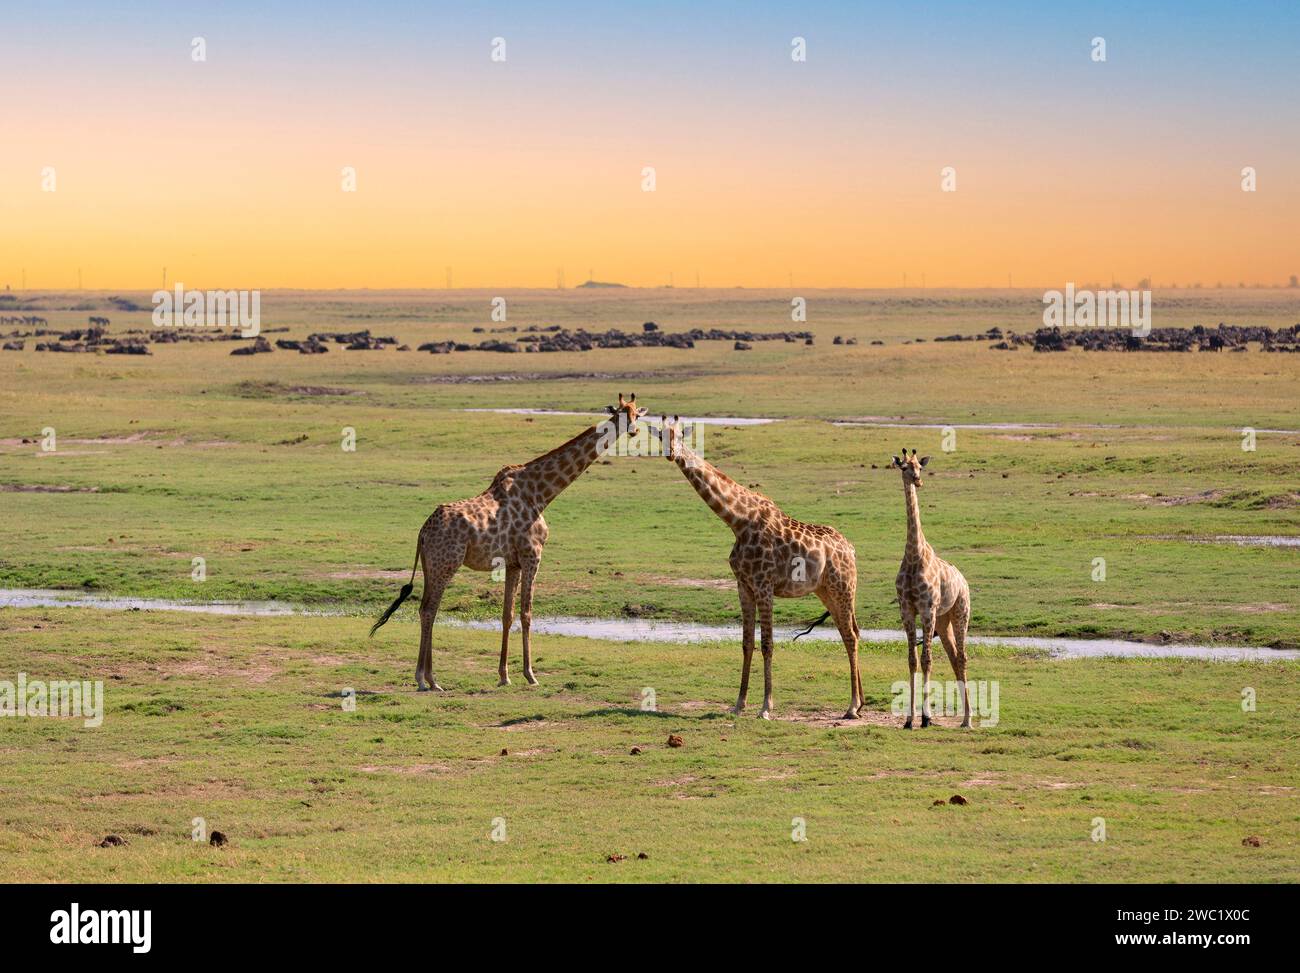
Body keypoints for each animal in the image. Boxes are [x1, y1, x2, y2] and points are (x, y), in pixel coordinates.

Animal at [369, 390, 647, 686]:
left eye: (636, 413)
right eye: (620, 413)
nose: (633, 429)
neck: (541, 494)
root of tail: (422, 532)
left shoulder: (512, 562)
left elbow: (507, 614)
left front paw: (504, 675)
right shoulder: (532, 555)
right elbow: (527, 613)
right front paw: (530, 674)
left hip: (430, 566)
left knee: (425, 608)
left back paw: (428, 678)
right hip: (446, 564)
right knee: (430, 609)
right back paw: (427, 679)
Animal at [650, 413, 863, 718]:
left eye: (680, 434)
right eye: (660, 436)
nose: (671, 453)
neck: (738, 521)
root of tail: (852, 549)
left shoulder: (764, 585)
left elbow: (767, 644)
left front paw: (765, 707)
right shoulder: (744, 586)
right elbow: (746, 644)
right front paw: (738, 704)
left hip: (843, 589)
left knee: (850, 636)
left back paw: (852, 706)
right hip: (827, 592)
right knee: (853, 633)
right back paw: (860, 702)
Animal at [894, 447, 977, 728]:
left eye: (920, 466)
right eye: (904, 467)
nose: (918, 481)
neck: (913, 556)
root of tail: (963, 579)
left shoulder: (927, 609)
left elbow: (927, 660)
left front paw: (926, 718)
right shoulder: (907, 610)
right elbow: (912, 660)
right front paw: (909, 719)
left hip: (960, 612)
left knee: (962, 657)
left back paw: (968, 720)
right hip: (944, 619)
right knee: (953, 657)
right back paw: (964, 718)